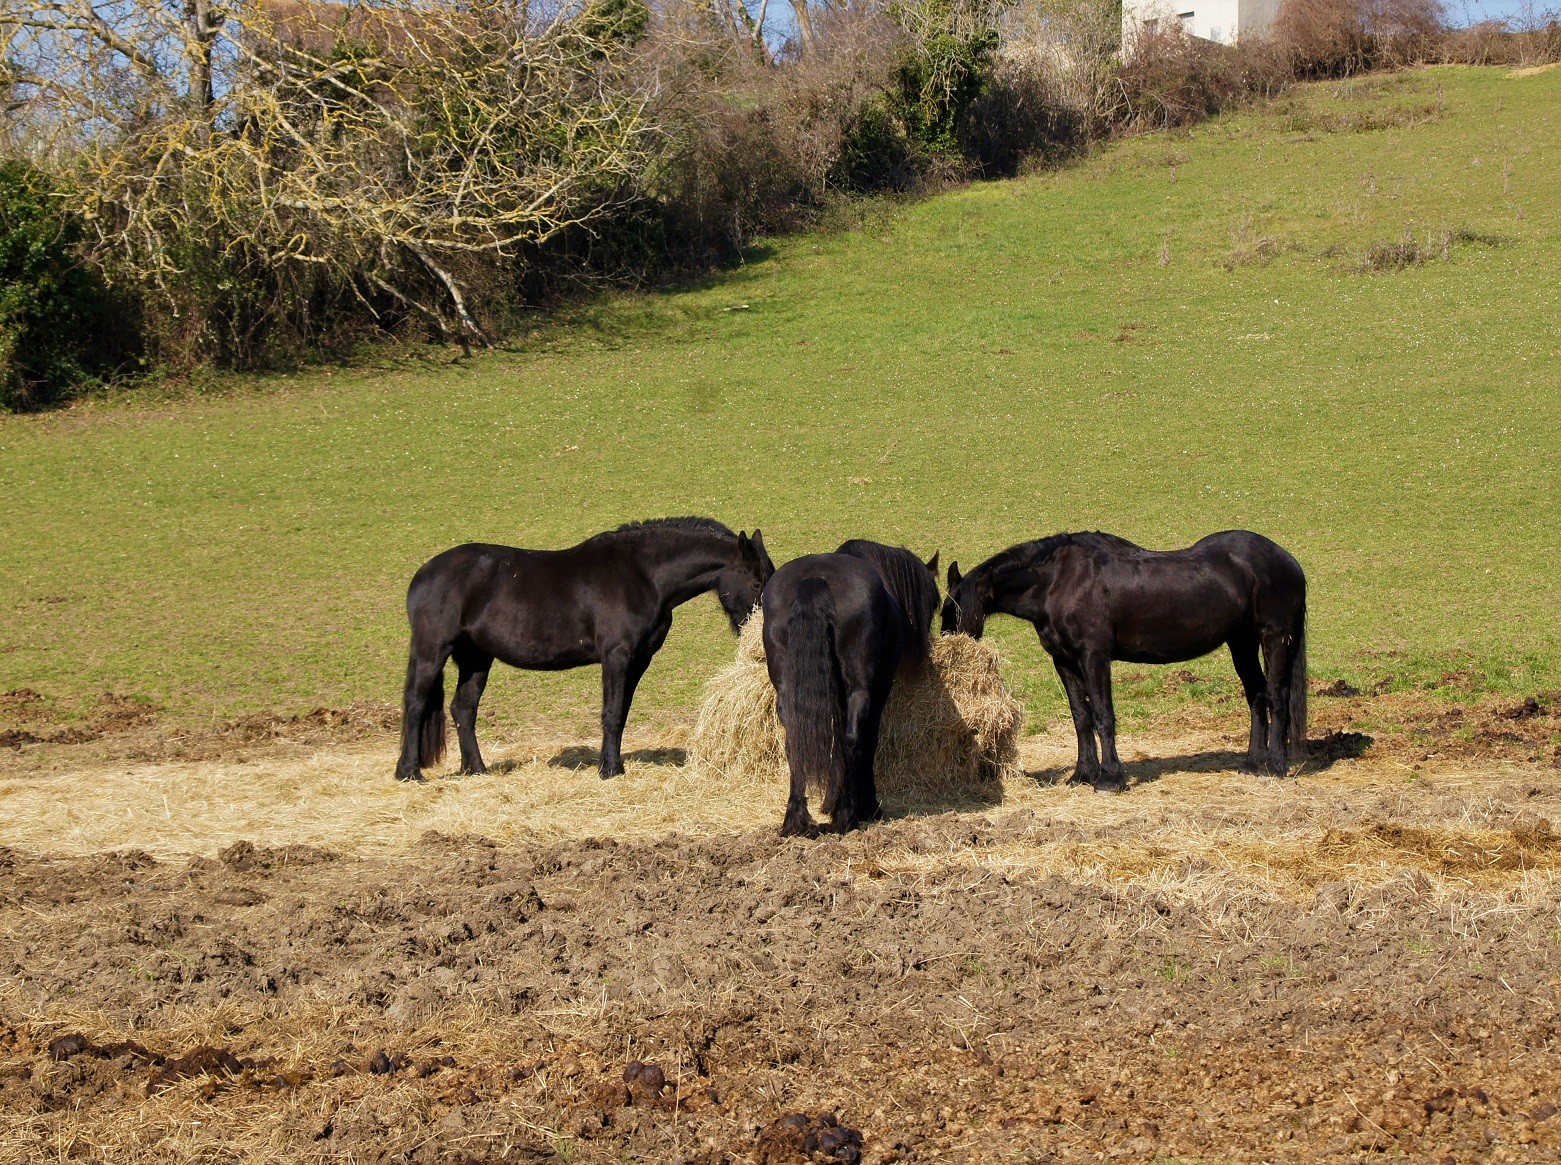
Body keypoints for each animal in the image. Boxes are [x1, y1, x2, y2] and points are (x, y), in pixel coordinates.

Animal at [396, 518, 774, 780]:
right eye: (757, 581)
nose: (764, 633)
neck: (644, 576)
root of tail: (423, 575)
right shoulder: (616, 656)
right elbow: (611, 713)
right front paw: (610, 770)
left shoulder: (638, 661)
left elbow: (621, 714)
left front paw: (613, 764)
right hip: (433, 651)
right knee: (416, 705)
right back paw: (410, 772)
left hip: (476, 658)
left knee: (463, 709)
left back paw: (476, 769)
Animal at [936, 527, 1304, 790]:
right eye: (945, 612)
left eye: (957, 612)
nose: (946, 648)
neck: (1058, 582)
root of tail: (1288, 561)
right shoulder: (1064, 661)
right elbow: (1081, 717)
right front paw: (1083, 774)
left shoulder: (1094, 657)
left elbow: (1103, 715)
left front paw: (1111, 778)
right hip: (1241, 642)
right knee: (1257, 696)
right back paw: (1252, 763)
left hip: (1273, 638)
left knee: (1277, 697)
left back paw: (1274, 765)